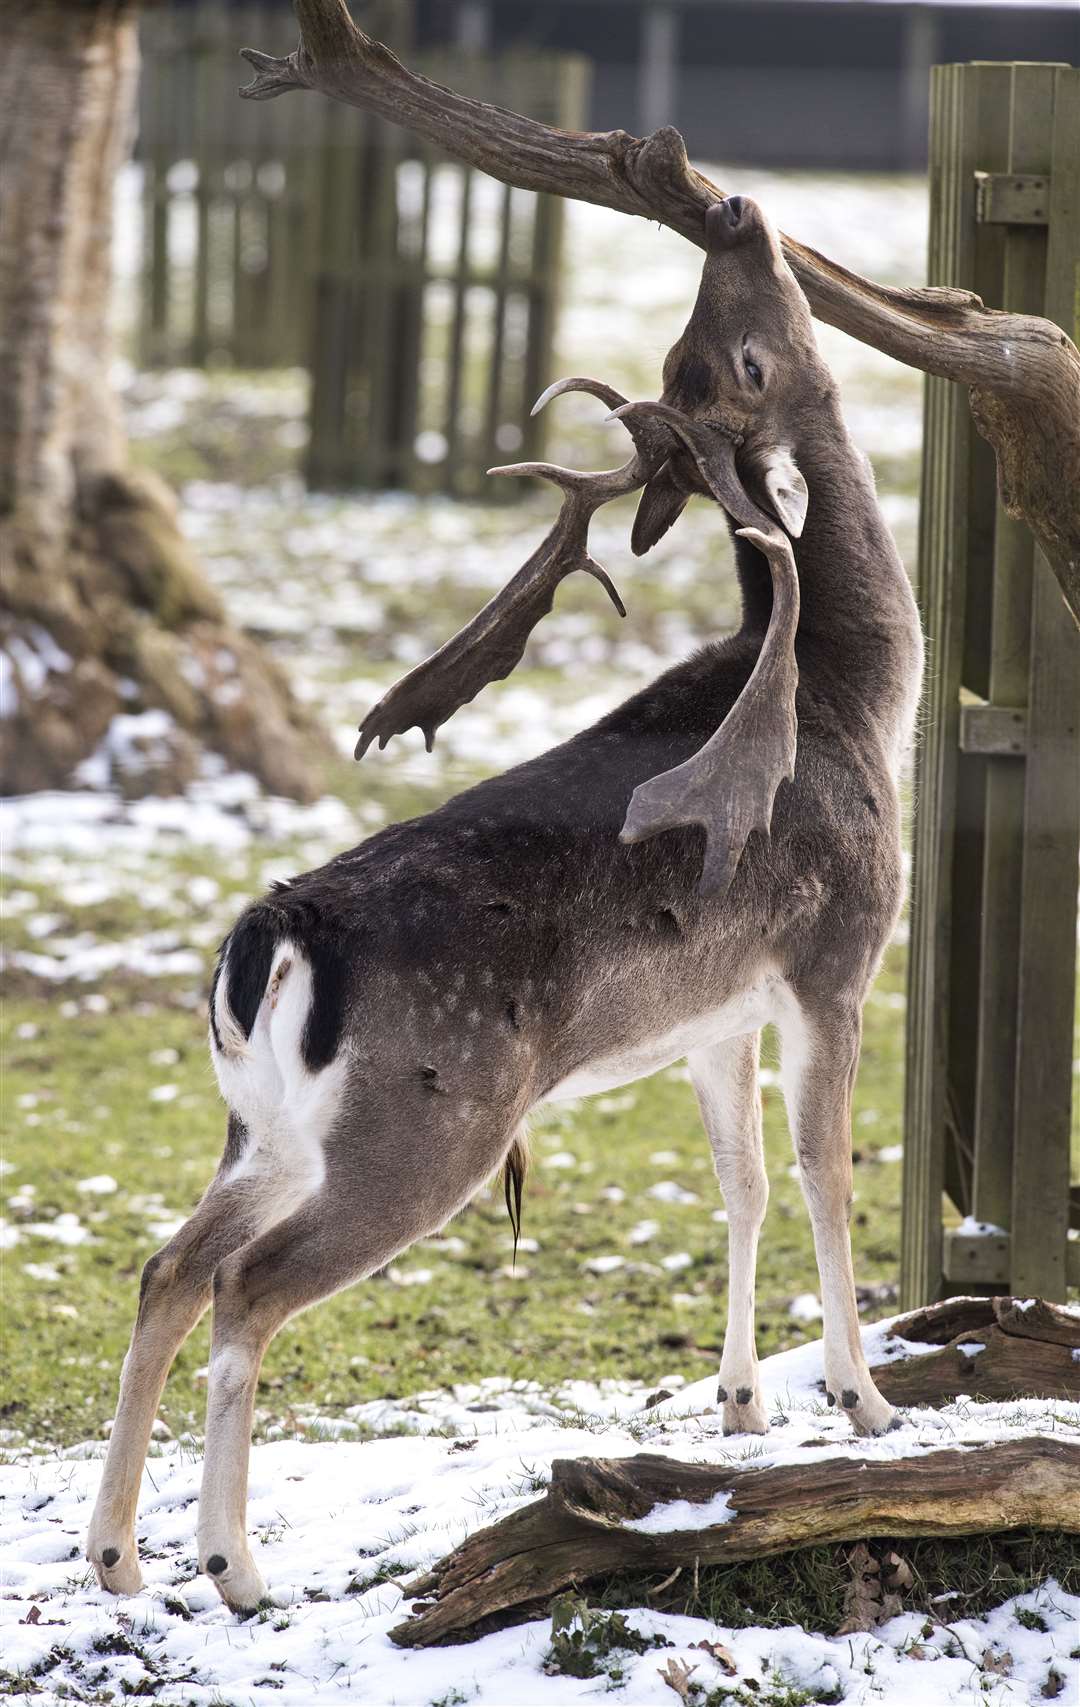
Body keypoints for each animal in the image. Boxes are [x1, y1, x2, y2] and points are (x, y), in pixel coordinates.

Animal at [88, 193, 921, 1604]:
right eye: (741, 356)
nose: (738, 213)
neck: (860, 701)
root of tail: (274, 935)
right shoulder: (837, 954)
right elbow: (822, 1170)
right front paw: (863, 1400)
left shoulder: (713, 1018)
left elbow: (743, 1184)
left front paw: (742, 1402)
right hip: (434, 1118)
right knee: (247, 1286)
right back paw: (232, 1563)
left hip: (267, 1125)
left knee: (168, 1265)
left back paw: (115, 1556)